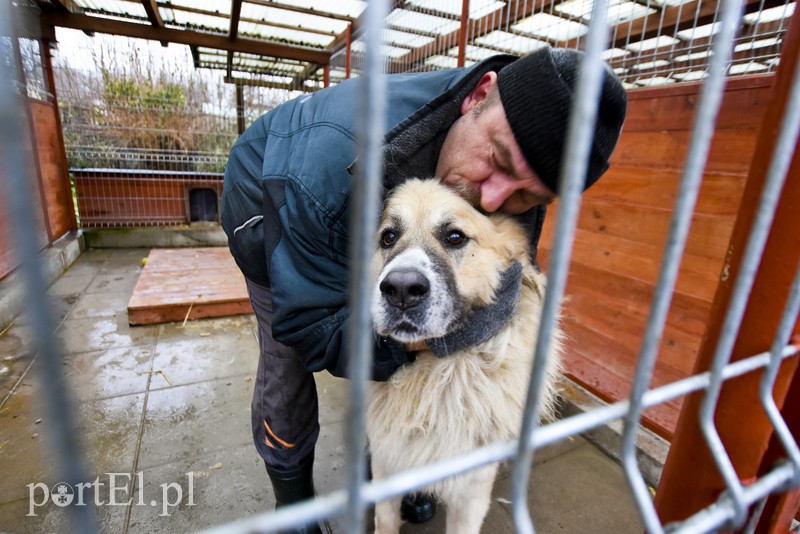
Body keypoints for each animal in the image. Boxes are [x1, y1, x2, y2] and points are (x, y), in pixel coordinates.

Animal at [368, 181, 564, 534]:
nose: (400, 289)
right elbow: (385, 520)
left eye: (455, 237)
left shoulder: (471, 489)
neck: (434, 376)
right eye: (388, 237)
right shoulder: (385, 461)